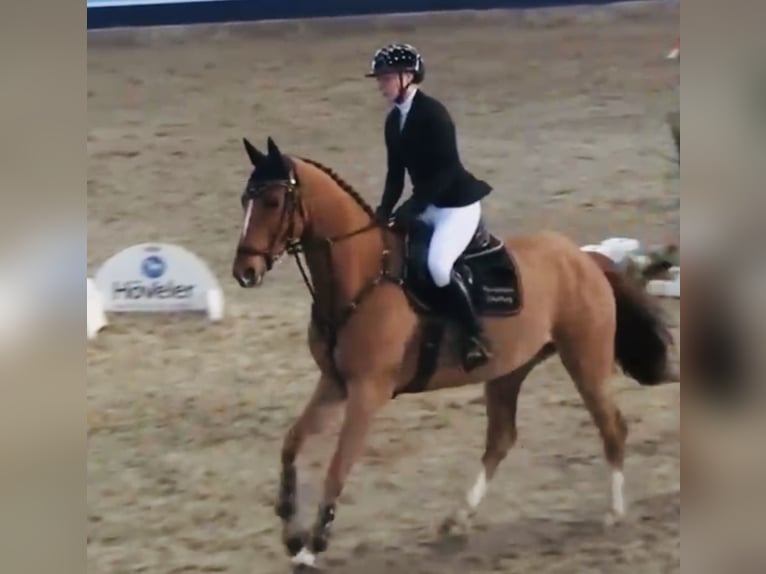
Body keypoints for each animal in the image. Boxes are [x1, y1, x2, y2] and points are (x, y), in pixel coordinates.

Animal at [231, 136, 679, 571]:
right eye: (244, 200)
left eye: (273, 202)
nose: (244, 273)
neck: (362, 278)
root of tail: (584, 258)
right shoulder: (335, 383)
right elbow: (291, 443)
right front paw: (291, 530)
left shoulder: (367, 392)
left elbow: (338, 465)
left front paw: (313, 546)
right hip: (509, 370)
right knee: (501, 439)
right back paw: (457, 519)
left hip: (585, 359)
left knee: (612, 427)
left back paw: (614, 513)